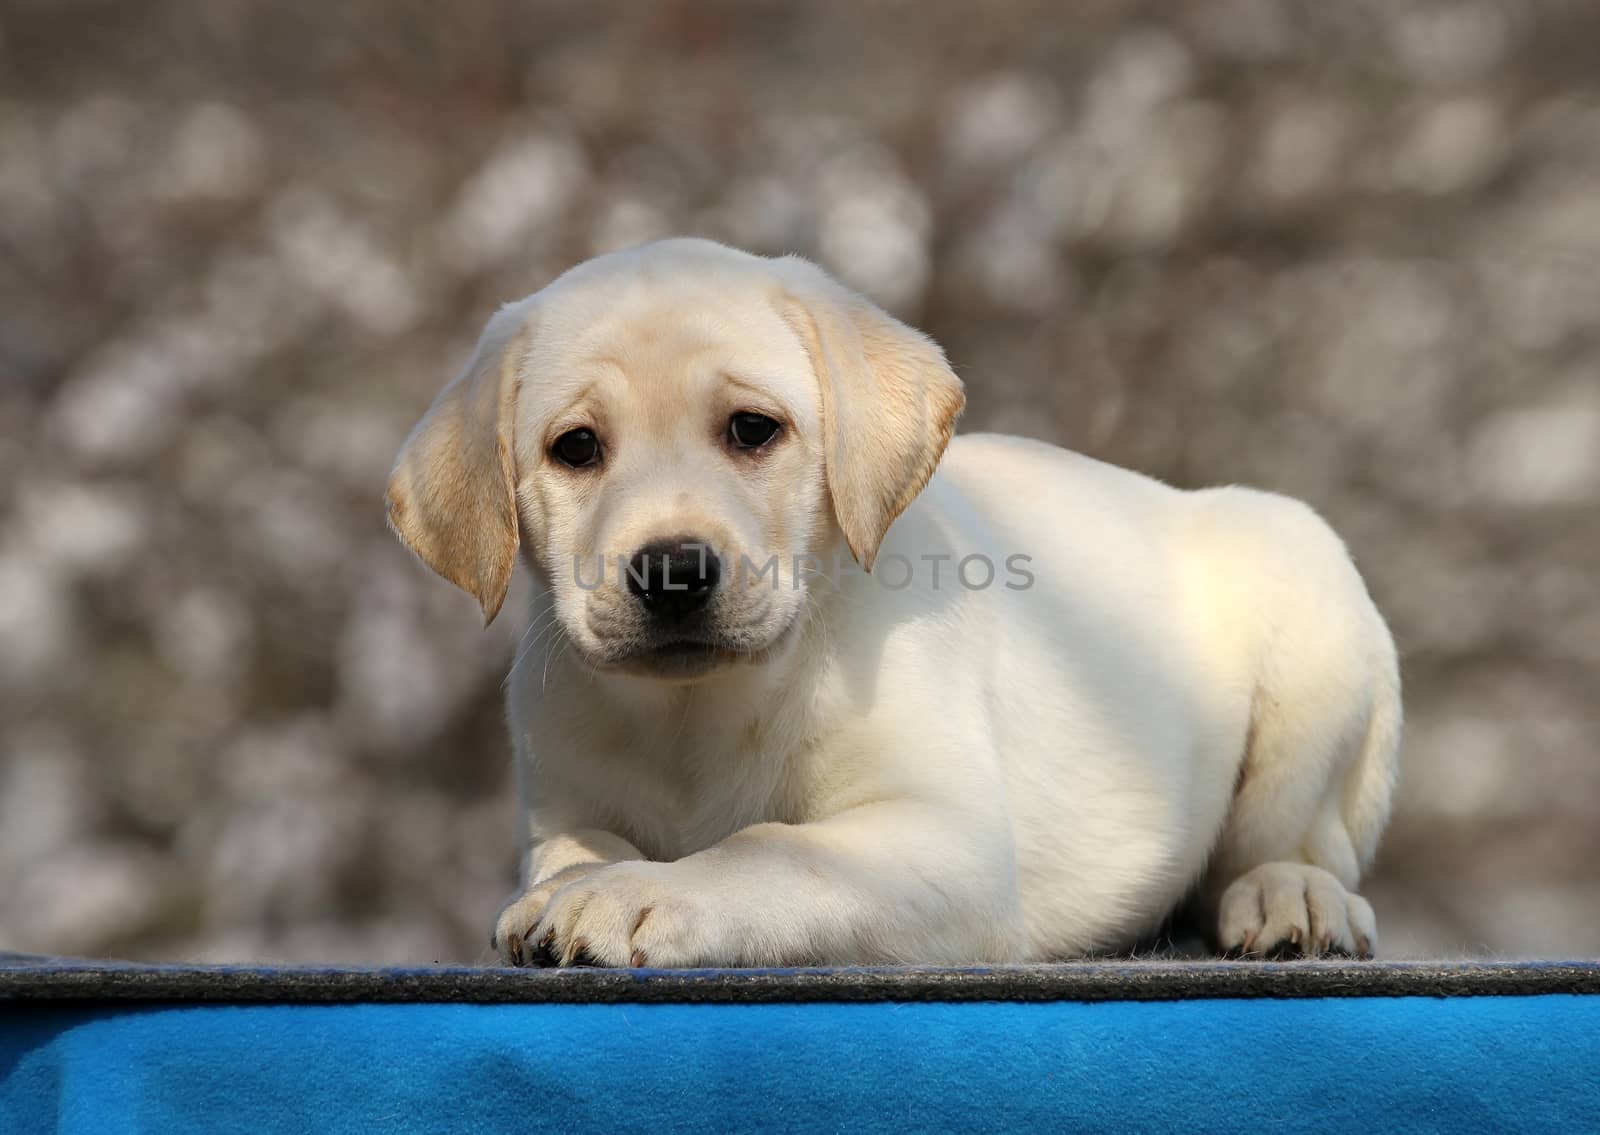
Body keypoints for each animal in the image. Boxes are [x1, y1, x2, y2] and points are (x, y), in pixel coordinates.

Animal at [387, 236, 1401, 966]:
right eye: (576, 448)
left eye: (752, 430)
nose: (672, 570)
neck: (701, 708)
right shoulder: (559, 796)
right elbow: (573, 848)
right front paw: (570, 887)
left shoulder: (950, 841)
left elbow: (773, 846)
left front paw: (638, 891)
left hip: (1310, 612)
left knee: (1298, 843)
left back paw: (1291, 895)